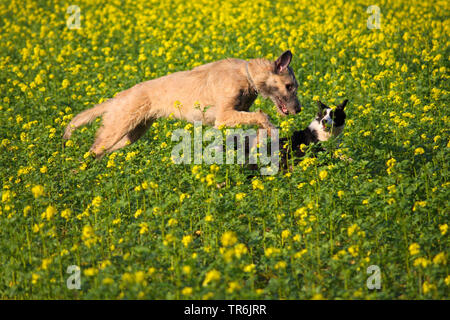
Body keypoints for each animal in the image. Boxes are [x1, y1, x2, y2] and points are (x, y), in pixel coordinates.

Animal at [63, 49, 300, 158]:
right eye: (289, 86)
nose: (299, 109)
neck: (247, 75)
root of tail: (118, 97)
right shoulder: (223, 117)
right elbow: (263, 115)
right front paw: (270, 132)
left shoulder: (237, 114)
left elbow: (258, 121)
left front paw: (261, 141)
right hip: (118, 127)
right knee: (93, 150)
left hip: (132, 133)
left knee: (102, 151)